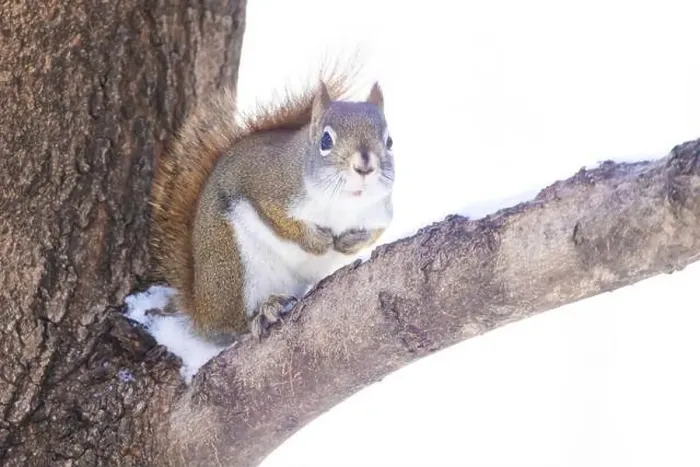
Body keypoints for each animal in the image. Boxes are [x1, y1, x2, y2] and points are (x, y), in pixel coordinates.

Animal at [149, 65, 395, 344]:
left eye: (389, 141)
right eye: (325, 141)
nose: (364, 165)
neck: (342, 205)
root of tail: (202, 312)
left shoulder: (380, 212)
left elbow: (376, 232)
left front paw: (351, 242)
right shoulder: (266, 188)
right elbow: (280, 220)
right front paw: (317, 241)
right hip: (234, 266)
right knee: (234, 324)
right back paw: (263, 312)